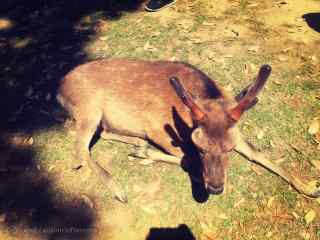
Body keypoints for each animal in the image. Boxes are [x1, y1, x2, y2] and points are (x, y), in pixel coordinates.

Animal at [57, 58, 320, 202]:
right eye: (200, 147)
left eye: (230, 148)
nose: (215, 188)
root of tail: (60, 90)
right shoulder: (156, 128)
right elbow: (187, 159)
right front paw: (146, 154)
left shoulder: (234, 128)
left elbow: (257, 152)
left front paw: (309, 187)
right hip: (88, 109)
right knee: (80, 149)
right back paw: (119, 188)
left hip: (98, 116)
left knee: (101, 133)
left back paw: (137, 144)